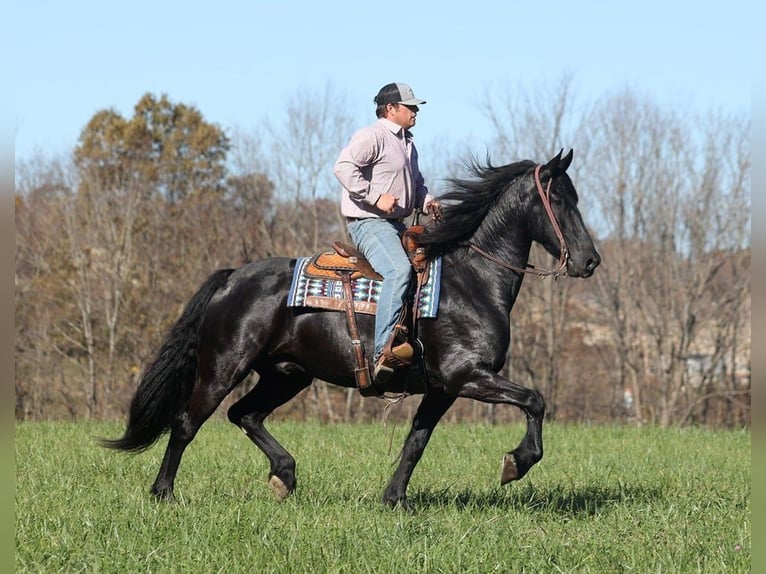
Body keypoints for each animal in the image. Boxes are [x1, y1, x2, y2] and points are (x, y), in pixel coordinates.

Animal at [101, 149, 601, 509]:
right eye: (559, 199)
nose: (590, 260)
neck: (472, 280)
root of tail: (231, 277)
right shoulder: (468, 376)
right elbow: (535, 401)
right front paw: (516, 463)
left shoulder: (443, 389)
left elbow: (416, 442)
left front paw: (394, 499)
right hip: (222, 368)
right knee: (188, 422)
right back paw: (164, 493)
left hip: (287, 375)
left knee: (244, 414)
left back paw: (284, 475)